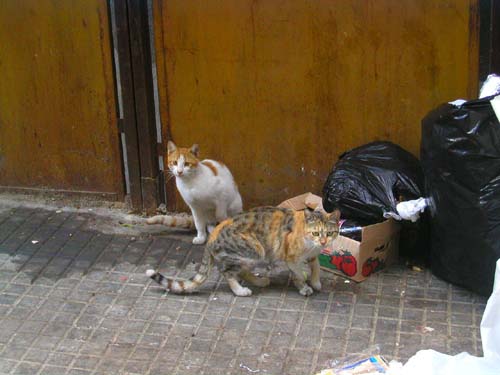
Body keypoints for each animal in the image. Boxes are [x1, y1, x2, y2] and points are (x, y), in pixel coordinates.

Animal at [145, 206, 340, 296]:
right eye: (316, 233)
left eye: (330, 233)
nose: (323, 241)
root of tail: (212, 235)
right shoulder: (291, 258)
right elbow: (298, 273)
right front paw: (304, 286)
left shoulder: (312, 255)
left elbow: (316, 267)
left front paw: (315, 282)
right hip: (254, 249)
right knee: (227, 272)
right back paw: (240, 291)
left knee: (242, 271)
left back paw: (260, 281)